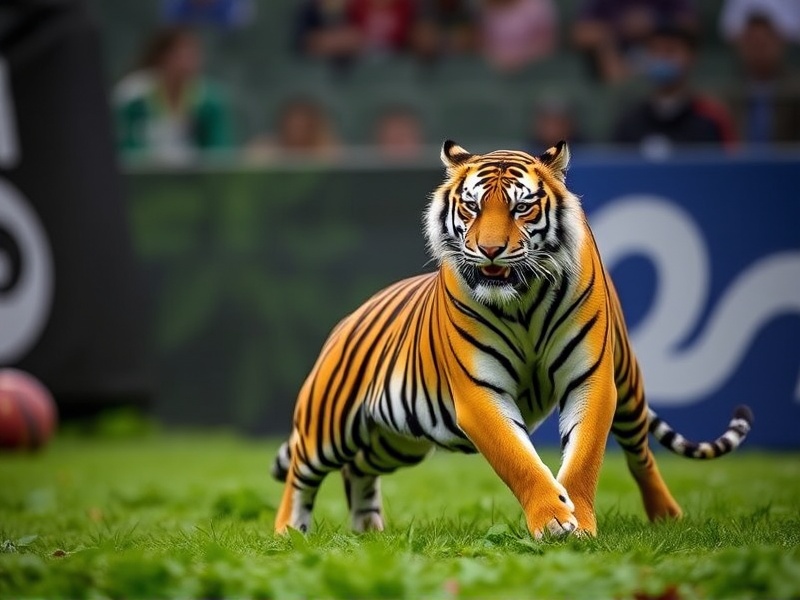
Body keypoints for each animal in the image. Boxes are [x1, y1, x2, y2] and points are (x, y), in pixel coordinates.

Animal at [271, 140, 753, 538]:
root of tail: (346, 321)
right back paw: (290, 532)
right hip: (332, 425)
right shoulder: (478, 392)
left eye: (522, 208)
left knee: (641, 455)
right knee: (302, 472)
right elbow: (518, 459)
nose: (489, 250)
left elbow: (584, 456)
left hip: (402, 439)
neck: (524, 299)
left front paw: (577, 521)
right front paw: (555, 520)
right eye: (471, 207)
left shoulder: (591, 379)